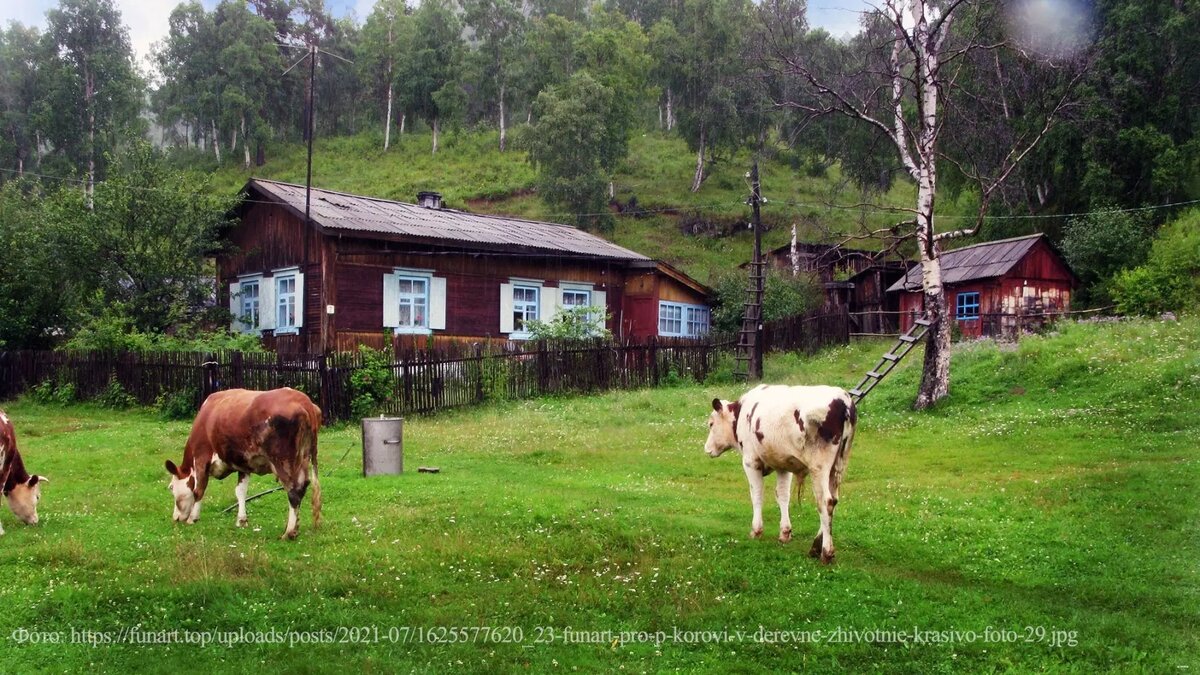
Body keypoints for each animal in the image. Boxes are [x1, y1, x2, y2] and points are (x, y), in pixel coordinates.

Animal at [166, 386, 324, 538]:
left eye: (171, 487)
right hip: (304, 457)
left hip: (283, 462)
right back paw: (294, 527)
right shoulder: (243, 464)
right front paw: (241, 520)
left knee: (294, 490)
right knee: (303, 486)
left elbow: (198, 490)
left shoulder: (201, 457)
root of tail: (304, 401)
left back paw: (289, 532)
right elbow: (241, 491)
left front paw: (192, 518)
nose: (175, 518)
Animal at [705, 384, 859, 562]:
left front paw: (756, 531)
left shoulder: (751, 461)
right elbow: (783, 496)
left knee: (825, 502)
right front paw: (785, 533)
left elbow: (756, 494)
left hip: (819, 467)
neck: (743, 413)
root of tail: (842, 400)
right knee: (833, 500)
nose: (706, 449)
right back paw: (815, 547)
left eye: (711, 424)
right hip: (837, 467)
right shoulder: (783, 465)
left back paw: (826, 552)